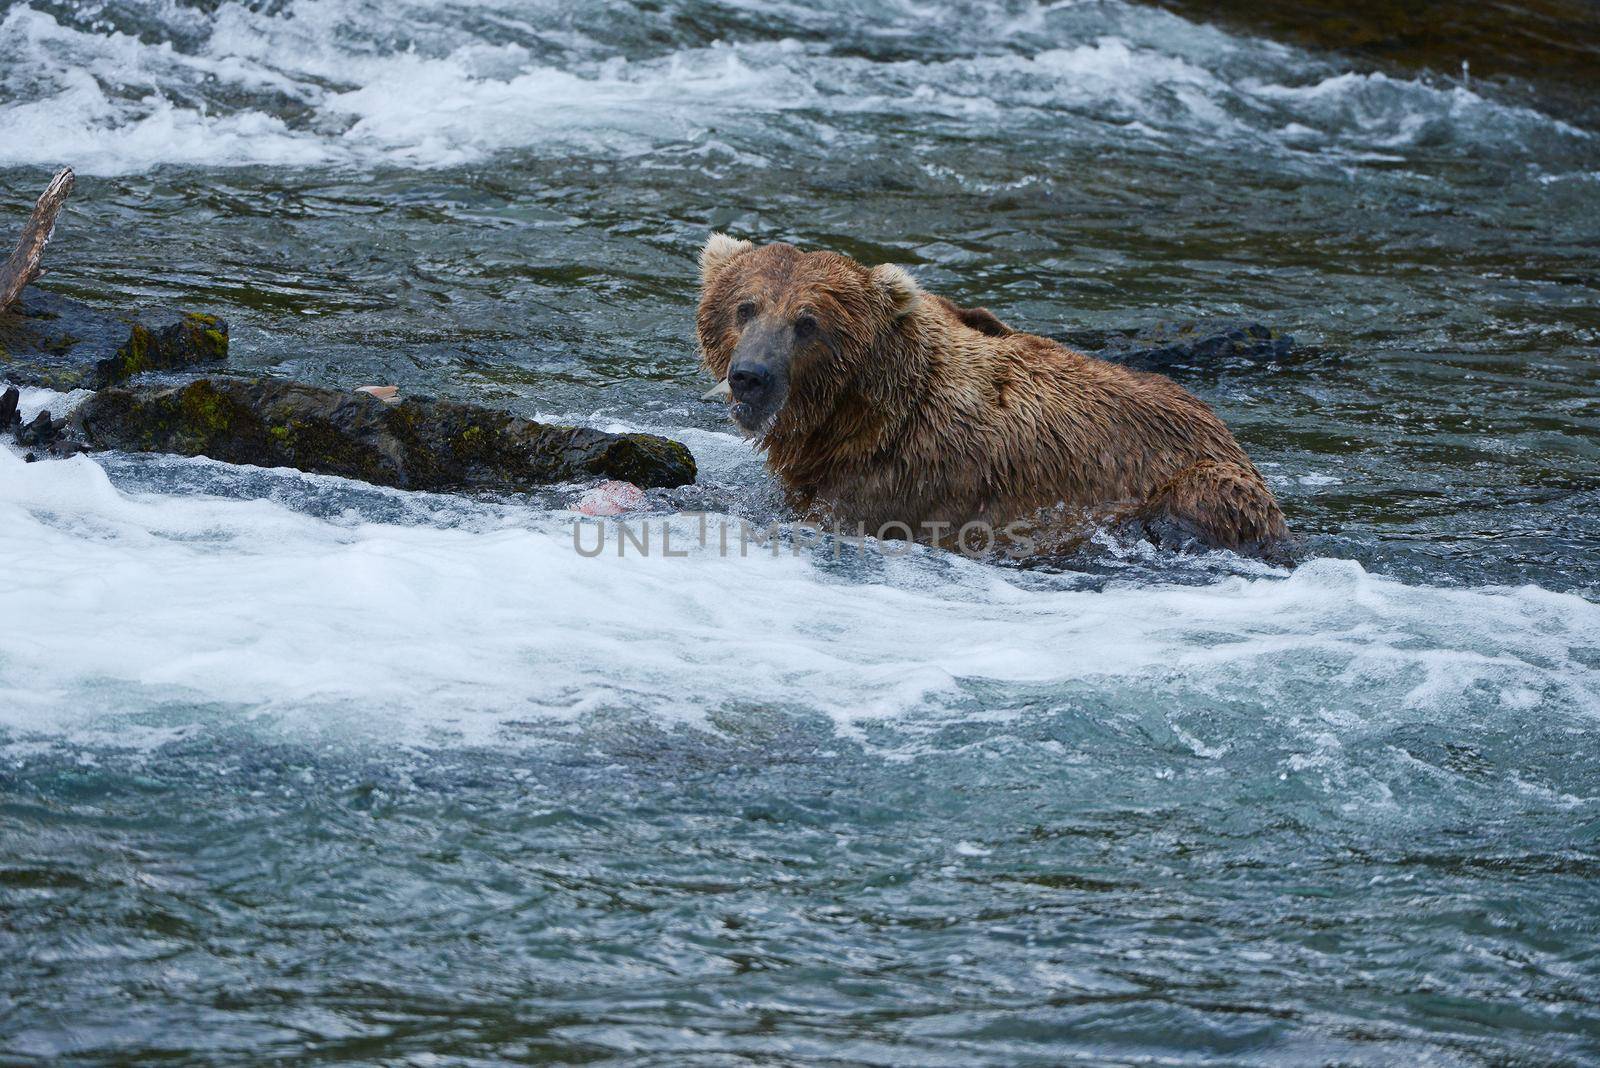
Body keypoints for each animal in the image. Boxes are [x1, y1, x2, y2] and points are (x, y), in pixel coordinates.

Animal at [697, 235, 1286, 559]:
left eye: (807, 323)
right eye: (745, 307)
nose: (750, 375)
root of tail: (1226, 430)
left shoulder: (900, 483)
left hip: (1199, 482)